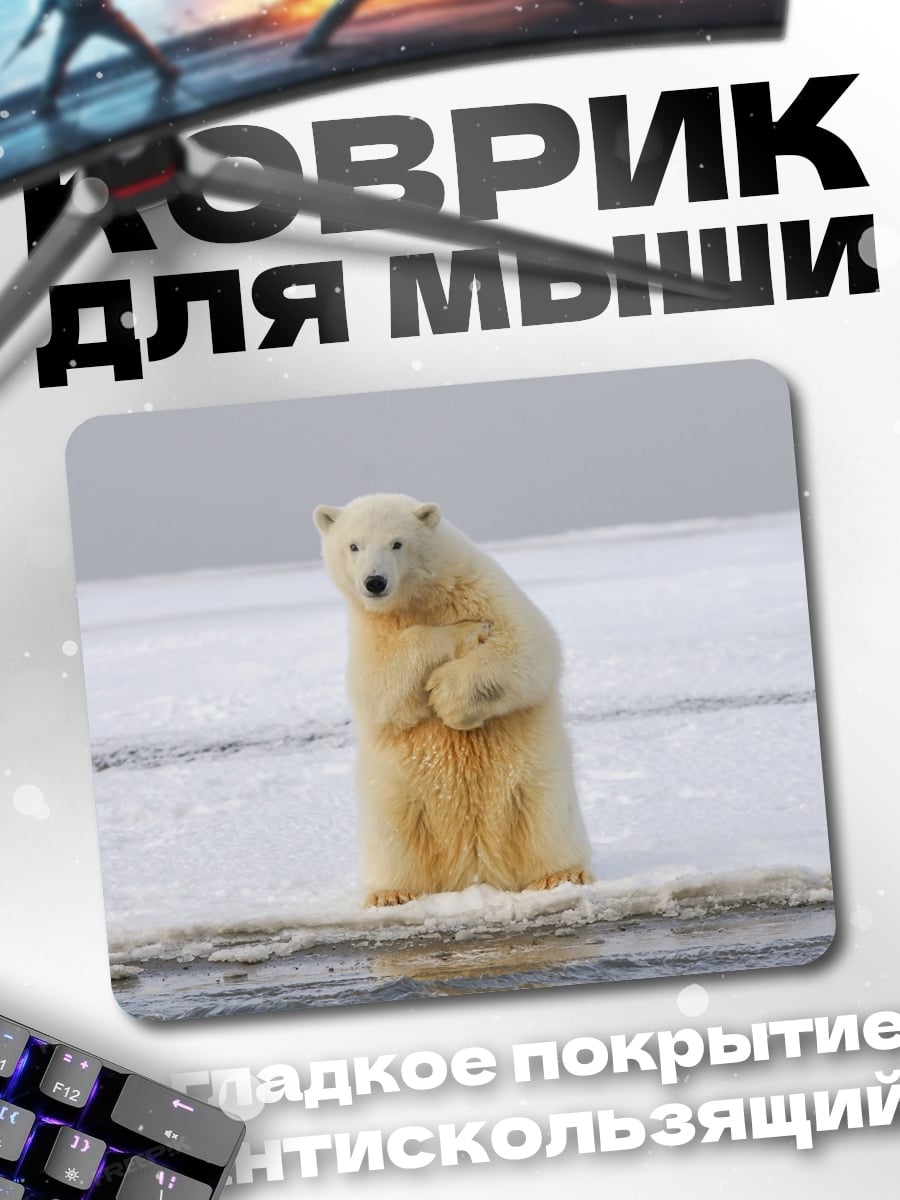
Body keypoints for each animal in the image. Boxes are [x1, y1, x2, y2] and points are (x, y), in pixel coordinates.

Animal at [313, 493, 594, 907]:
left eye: (397, 543)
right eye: (353, 545)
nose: (374, 582)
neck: (421, 598)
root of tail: (474, 871)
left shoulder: (484, 589)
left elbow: (528, 646)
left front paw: (448, 696)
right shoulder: (369, 631)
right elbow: (379, 685)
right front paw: (460, 633)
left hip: (536, 782)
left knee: (544, 819)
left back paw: (560, 875)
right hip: (396, 795)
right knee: (394, 836)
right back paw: (391, 894)